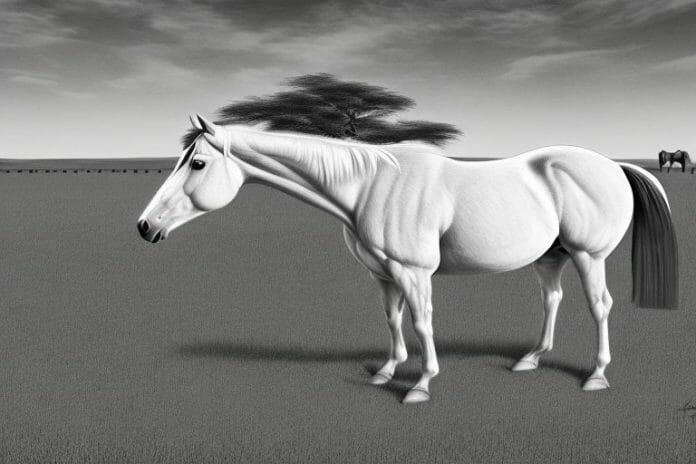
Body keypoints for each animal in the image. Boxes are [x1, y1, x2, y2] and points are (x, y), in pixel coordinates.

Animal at [138, 114, 678, 404]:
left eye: (198, 163)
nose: (145, 226)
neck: (368, 186)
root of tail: (613, 165)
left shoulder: (414, 272)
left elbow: (421, 323)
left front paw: (419, 384)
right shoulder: (384, 274)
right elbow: (392, 319)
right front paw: (385, 371)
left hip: (589, 255)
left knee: (599, 306)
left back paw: (596, 375)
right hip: (552, 256)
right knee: (553, 300)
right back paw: (530, 359)